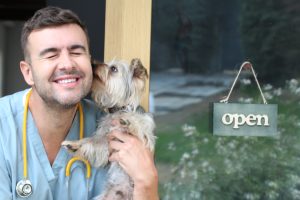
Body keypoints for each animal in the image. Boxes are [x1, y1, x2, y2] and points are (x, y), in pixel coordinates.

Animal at [61, 58, 155, 200]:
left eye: (114, 69)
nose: (93, 63)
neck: (118, 110)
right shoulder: (106, 143)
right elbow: (91, 142)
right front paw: (74, 145)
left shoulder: (145, 134)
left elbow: (138, 122)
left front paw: (127, 121)